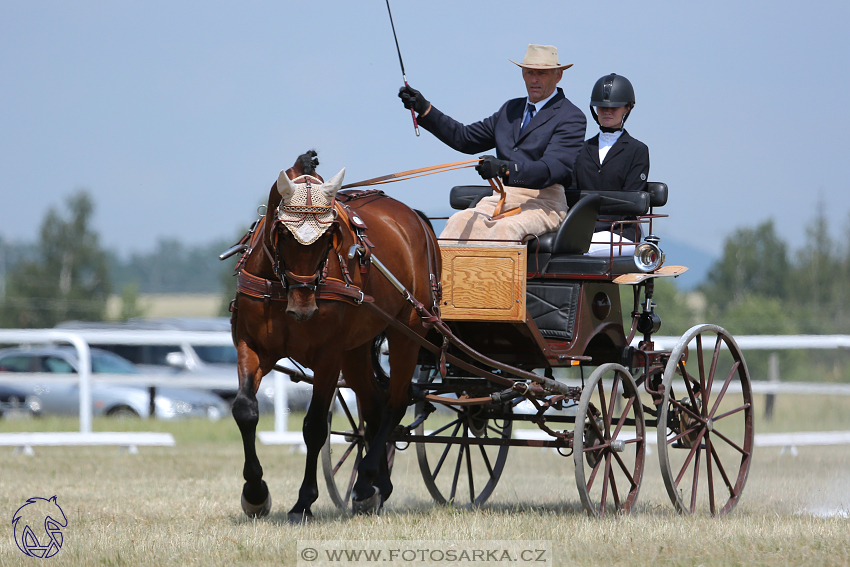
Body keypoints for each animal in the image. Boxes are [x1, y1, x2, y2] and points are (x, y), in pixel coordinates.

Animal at [229, 151, 440, 524]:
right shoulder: (250, 346)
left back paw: (366, 482)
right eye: (282, 233)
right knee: (374, 407)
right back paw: (375, 485)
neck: (284, 289)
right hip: (356, 349)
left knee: (396, 403)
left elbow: (314, 427)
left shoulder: (328, 357)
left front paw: (303, 502)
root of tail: (414, 218)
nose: (303, 306)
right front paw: (255, 494)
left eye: (330, 237)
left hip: (408, 333)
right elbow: (245, 410)